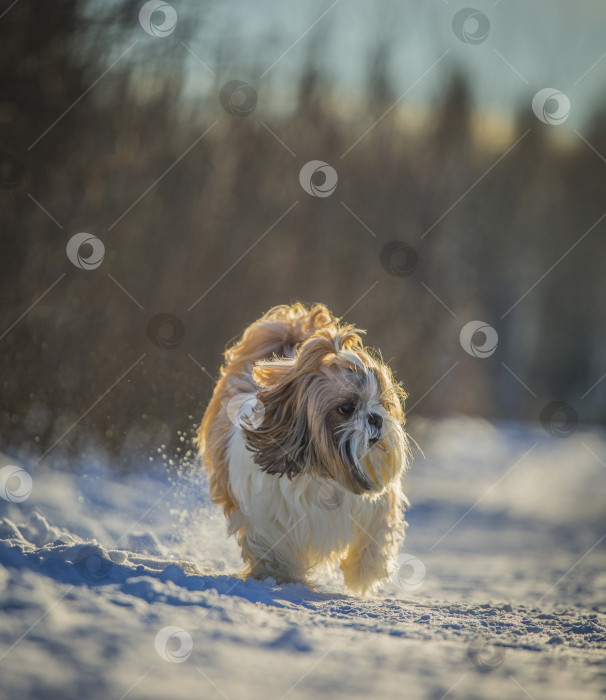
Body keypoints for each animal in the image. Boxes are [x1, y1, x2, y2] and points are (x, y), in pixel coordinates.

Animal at [197, 302, 410, 596]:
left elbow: (375, 537)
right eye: (346, 408)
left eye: (382, 403)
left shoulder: (376, 506)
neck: (321, 473)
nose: (376, 418)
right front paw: (282, 576)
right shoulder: (266, 516)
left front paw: (362, 574)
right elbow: (275, 547)